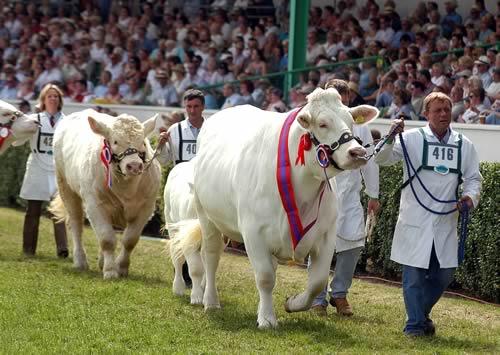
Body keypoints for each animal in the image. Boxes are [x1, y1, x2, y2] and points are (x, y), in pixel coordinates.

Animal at [49, 110, 162, 280]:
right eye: (115, 141)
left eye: (143, 142)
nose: (134, 166)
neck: (126, 187)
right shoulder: (94, 204)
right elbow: (106, 238)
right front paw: (110, 271)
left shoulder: (146, 207)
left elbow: (130, 240)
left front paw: (121, 267)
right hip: (65, 186)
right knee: (76, 224)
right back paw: (80, 260)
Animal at [177, 87, 378, 330]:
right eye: (322, 124)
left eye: (350, 120)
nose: (357, 152)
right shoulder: (253, 232)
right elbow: (265, 277)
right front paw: (267, 319)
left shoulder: (326, 234)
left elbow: (317, 281)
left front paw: (292, 303)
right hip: (207, 217)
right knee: (211, 257)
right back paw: (210, 301)